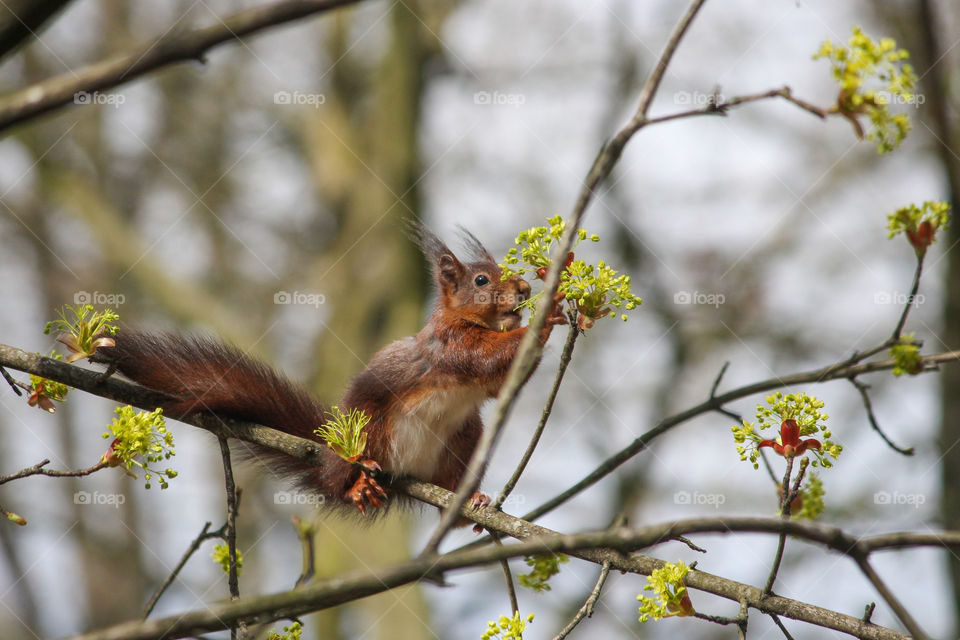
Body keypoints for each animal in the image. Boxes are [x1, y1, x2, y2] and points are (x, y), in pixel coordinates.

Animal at [94, 224, 568, 516]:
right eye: (482, 281)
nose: (524, 288)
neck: (466, 319)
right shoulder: (449, 344)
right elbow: (486, 357)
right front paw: (547, 311)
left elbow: (500, 383)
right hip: (367, 426)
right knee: (340, 478)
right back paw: (355, 484)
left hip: (465, 438)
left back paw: (469, 500)